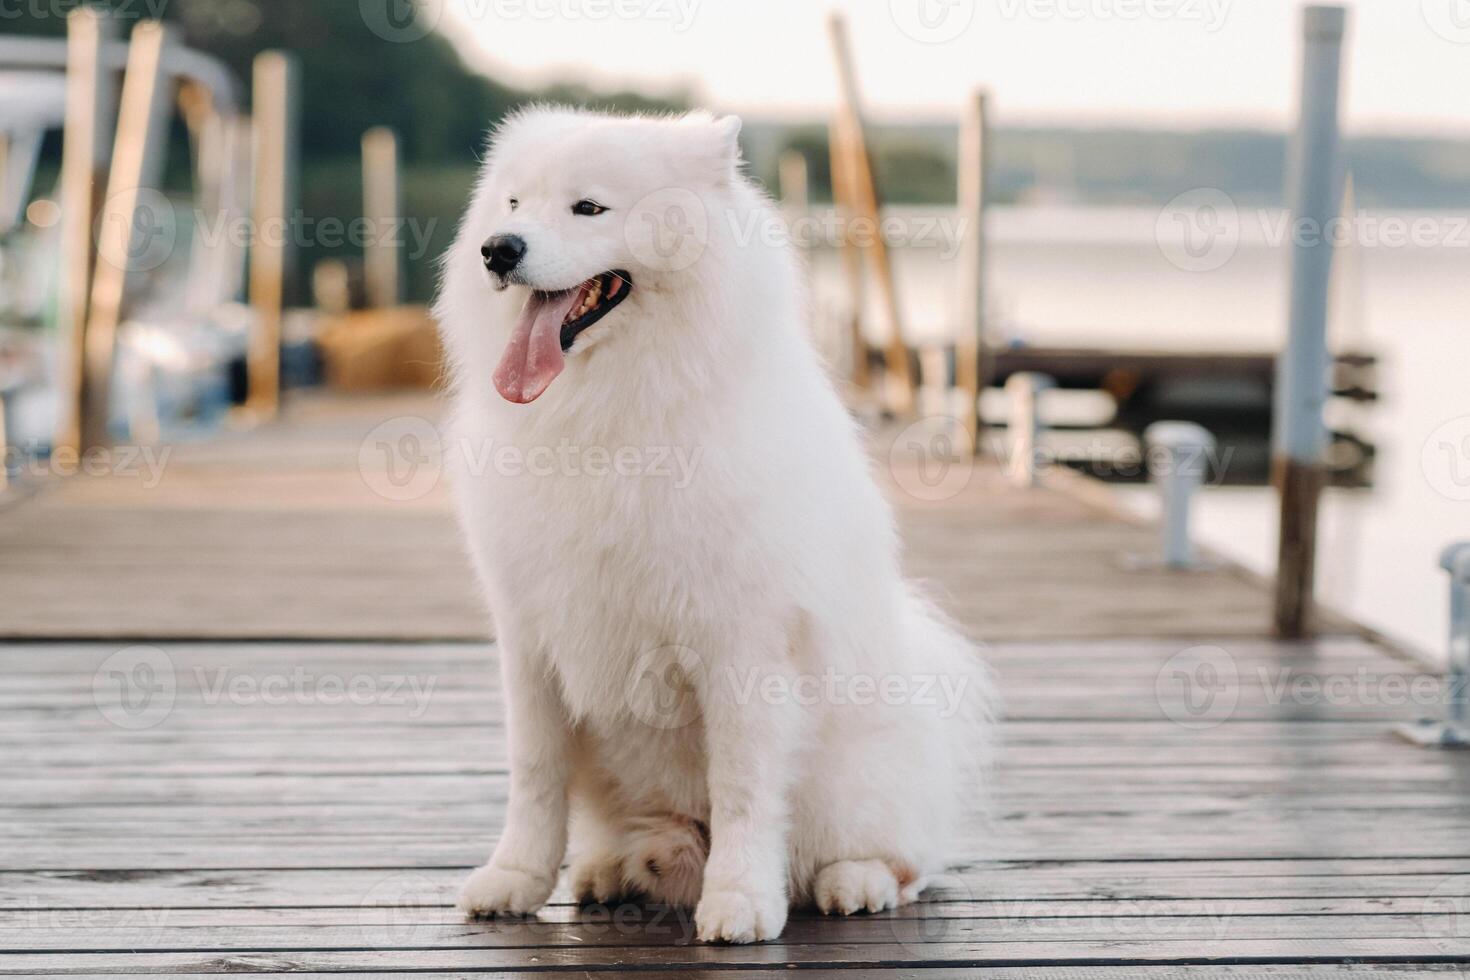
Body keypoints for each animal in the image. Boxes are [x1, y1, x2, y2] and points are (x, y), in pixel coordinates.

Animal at [429, 107, 993, 940]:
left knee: (905, 862)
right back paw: (615, 870)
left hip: (859, 778)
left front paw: (739, 903)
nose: (498, 250)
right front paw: (514, 880)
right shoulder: (530, 637)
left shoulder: (741, 643)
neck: (611, 414)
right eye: (512, 205)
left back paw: (851, 882)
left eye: (588, 208)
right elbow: (533, 775)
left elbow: (744, 788)